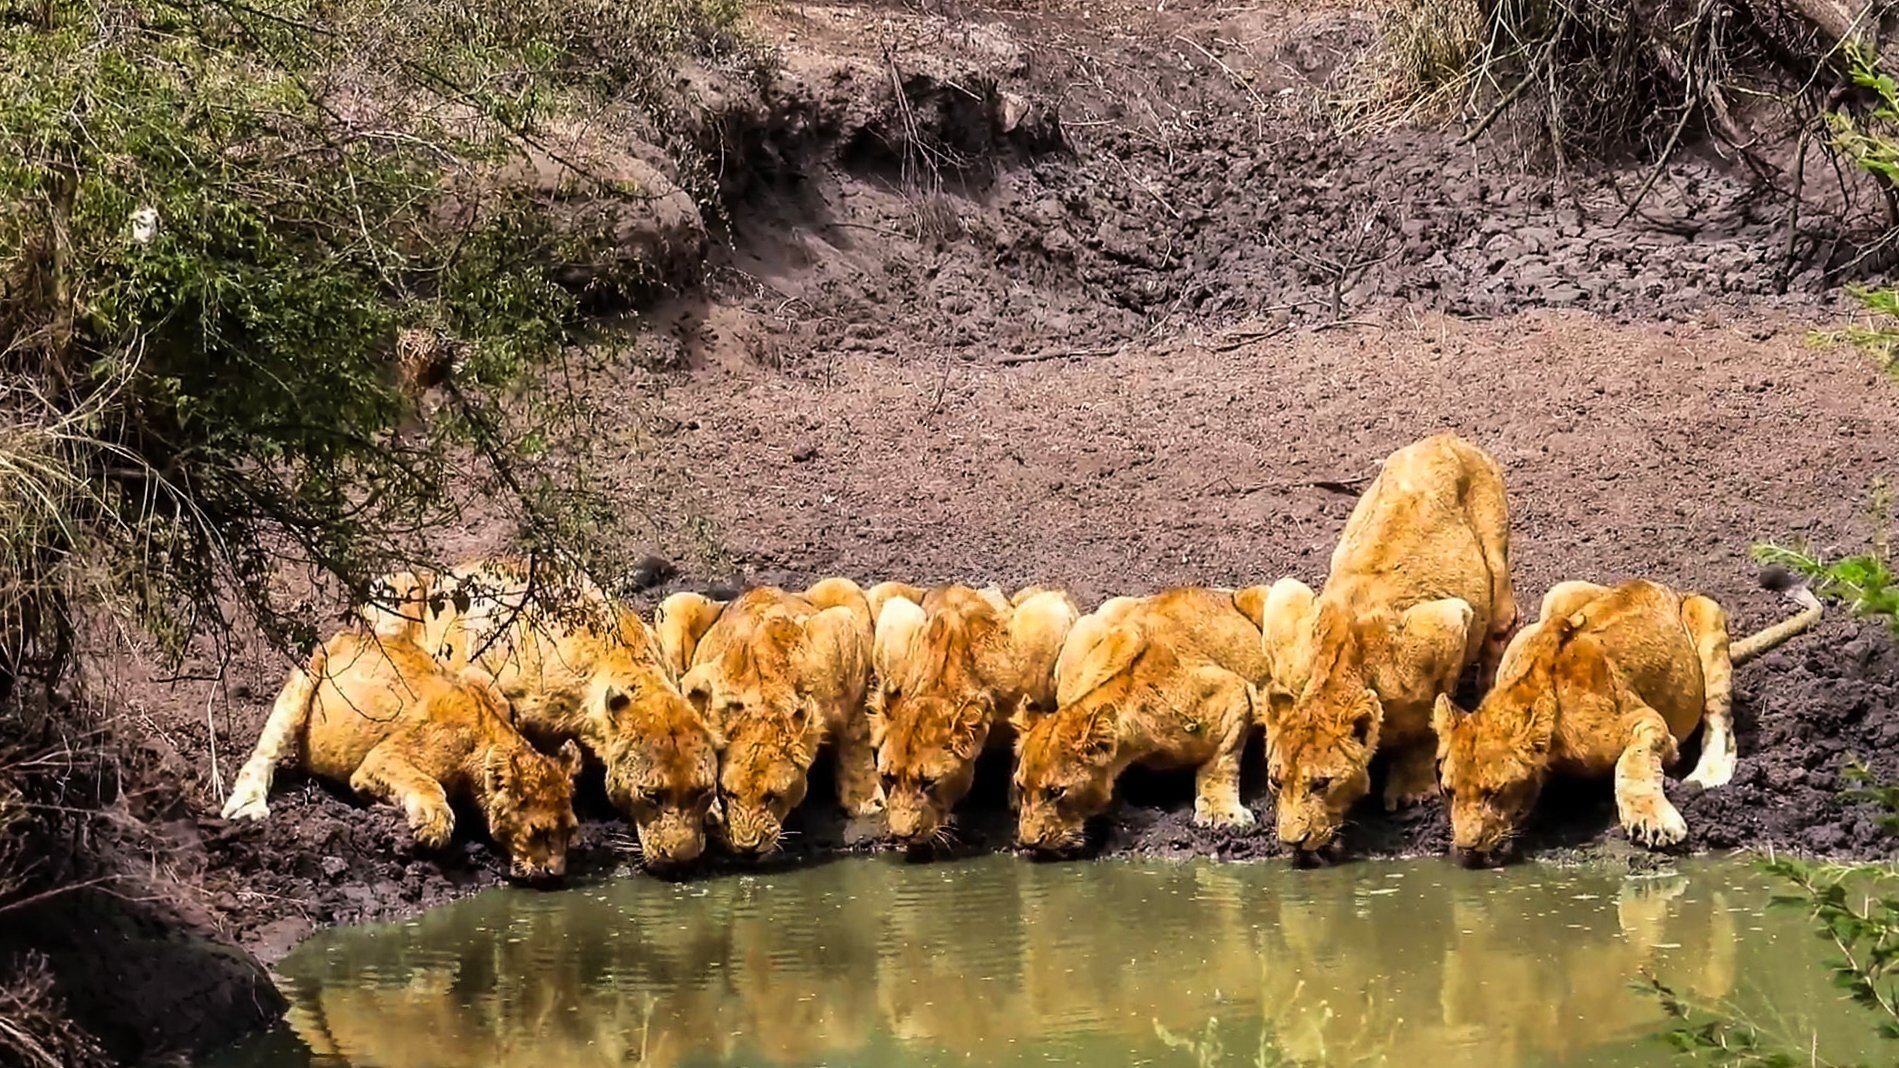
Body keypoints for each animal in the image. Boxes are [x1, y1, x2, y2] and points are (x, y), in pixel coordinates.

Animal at [219, 630, 582, 882]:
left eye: (570, 832)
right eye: (539, 832)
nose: (557, 875)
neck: (486, 735)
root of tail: (355, 633)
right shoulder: (380, 759)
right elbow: (426, 784)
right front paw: (432, 825)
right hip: (304, 679)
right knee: (265, 752)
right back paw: (249, 805)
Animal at [660, 579, 881, 858]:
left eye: (773, 796)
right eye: (728, 793)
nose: (748, 847)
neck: (767, 699)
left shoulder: (840, 632)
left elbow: (855, 732)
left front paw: (866, 800)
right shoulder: (699, 677)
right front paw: (712, 810)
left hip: (842, 585)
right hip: (674, 603)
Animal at [1014, 586, 1271, 854]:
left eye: (1056, 792)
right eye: (1020, 786)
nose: (1029, 842)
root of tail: (1219, 590)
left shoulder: (1234, 693)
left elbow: (1220, 761)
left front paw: (1221, 812)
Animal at [1263, 432, 1517, 864]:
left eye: (1321, 784)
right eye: (1277, 781)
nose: (1292, 842)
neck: (1337, 666)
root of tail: (1445, 437)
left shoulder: (1448, 621)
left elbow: (1424, 721)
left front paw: (1411, 790)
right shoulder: (1284, 599)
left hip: (1496, 570)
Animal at [1432, 576, 1822, 865]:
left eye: (1494, 793)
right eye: (1449, 791)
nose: (1466, 850)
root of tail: (1666, 588)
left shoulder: (1648, 721)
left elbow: (1632, 762)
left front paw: (1652, 821)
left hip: (1708, 614)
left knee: (1720, 721)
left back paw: (1707, 775)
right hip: (1558, 596)